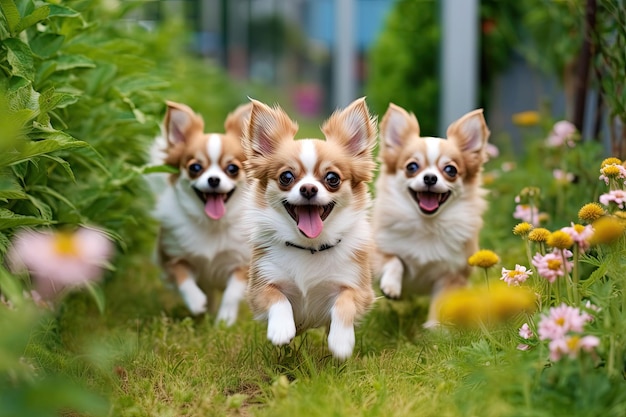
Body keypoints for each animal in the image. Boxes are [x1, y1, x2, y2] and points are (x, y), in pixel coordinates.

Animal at [152, 101, 251, 324]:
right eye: (195, 168)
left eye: (232, 169)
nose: (213, 179)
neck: (212, 223)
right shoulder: (171, 255)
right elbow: (183, 278)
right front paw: (197, 303)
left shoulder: (242, 263)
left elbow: (232, 292)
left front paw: (225, 321)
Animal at [243, 96, 376, 358]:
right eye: (286, 177)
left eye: (332, 179)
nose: (308, 189)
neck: (310, 247)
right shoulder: (260, 287)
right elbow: (277, 297)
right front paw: (281, 329)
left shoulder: (359, 289)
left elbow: (345, 303)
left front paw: (341, 341)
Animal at [370, 103, 488, 324]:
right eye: (412, 167)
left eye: (450, 170)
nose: (430, 178)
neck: (426, 224)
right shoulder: (376, 253)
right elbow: (395, 261)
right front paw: (391, 286)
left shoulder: (451, 274)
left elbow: (440, 305)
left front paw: (435, 328)